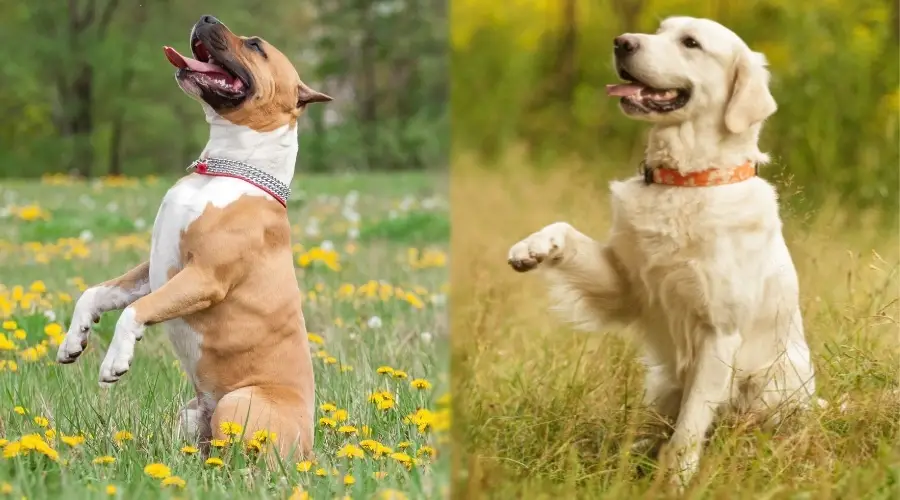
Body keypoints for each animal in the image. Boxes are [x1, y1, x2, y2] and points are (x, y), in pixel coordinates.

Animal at [56, 14, 332, 460]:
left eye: (255, 45)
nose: (206, 18)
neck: (224, 168)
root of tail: (309, 450)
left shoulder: (203, 277)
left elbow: (135, 311)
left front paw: (115, 360)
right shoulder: (154, 269)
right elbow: (96, 293)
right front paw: (74, 340)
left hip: (238, 403)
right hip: (190, 414)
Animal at [512, 17, 816, 486]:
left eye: (691, 42)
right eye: (660, 30)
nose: (621, 42)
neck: (685, 181)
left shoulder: (718, 332)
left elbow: (690, 428)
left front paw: (676, 482)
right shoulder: (629, 286)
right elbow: (566, 231)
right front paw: (533, 246)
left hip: (768, 384)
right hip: (662, 382)